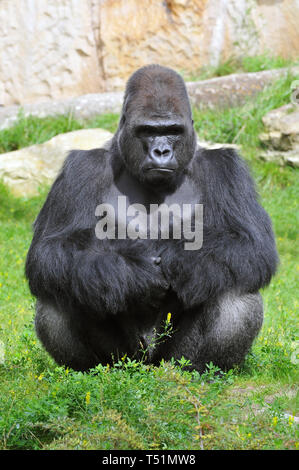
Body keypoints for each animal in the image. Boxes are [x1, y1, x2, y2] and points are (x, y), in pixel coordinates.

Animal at [25, 64, 278, 372]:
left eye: (173, 131)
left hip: (172, 357)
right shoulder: (81, 168)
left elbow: (251, 244)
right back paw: (87, 370)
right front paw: (135, 273)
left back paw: (204, 370)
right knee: (63, 286)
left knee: (235, 286)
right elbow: (50, 250)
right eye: (147, 131)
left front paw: (178, 261)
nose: (161, 151)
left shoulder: (227, 168)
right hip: (125, 358)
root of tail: (148, 365)